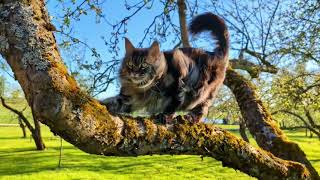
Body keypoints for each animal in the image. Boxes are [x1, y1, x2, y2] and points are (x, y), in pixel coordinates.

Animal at [101, 11, 229, 123]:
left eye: (144, 65)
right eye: (130, 64)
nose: (134, 73)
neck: (147, 88)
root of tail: (217, 54)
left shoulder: (179, 83)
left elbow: (173, 104)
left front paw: (165, 116)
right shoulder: (129, 98)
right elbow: (114, 101)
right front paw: (100, 104)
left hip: (204, 94)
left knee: (203, 109)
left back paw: (191, 118)